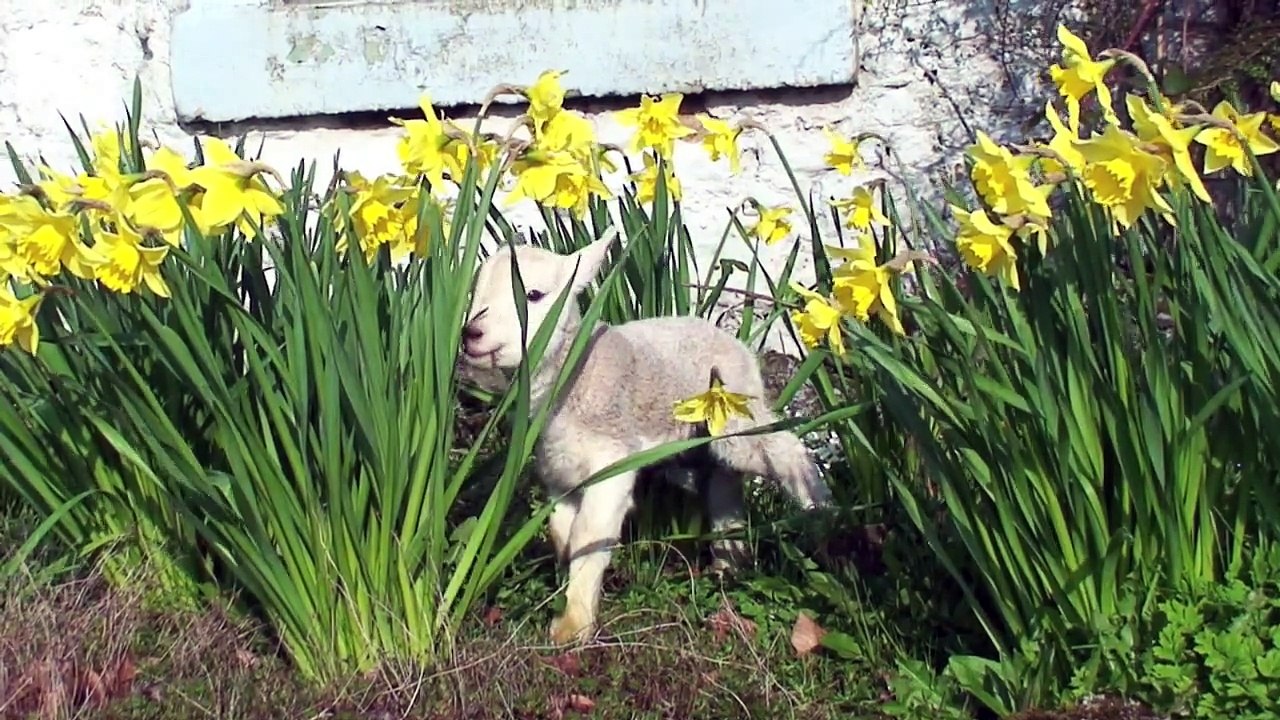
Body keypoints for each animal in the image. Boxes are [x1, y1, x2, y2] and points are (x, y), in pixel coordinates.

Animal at [459, 231, 834, 645]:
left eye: (534, 295)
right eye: (475, 292)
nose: (470, 334)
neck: (574, 376)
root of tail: (736, 345)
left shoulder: (612, 461)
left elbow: (591, 534)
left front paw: (574, 625)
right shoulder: (558, 470)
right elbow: (562, 531)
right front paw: (566, 589)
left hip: (735, 412)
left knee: (782, 447)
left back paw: (821, 512)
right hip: (703, 436)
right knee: (724, 484)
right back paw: (728, 564)